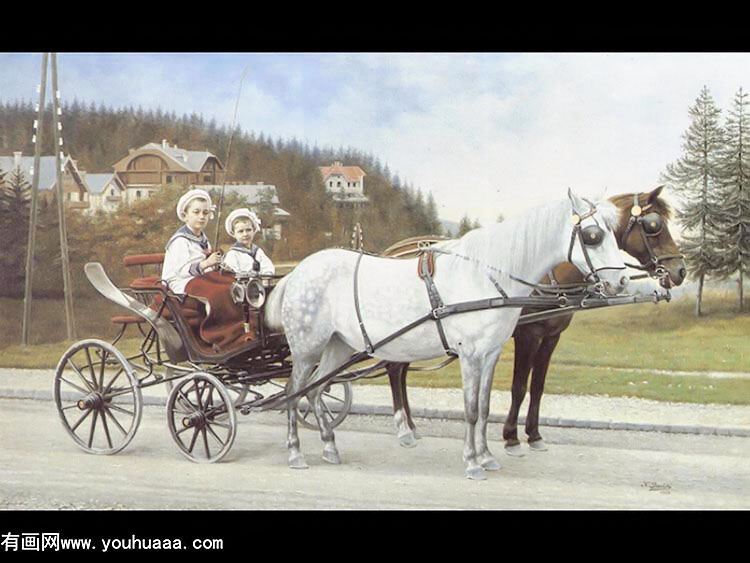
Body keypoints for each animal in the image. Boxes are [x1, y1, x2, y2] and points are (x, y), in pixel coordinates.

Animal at [268, 191, 632, 480]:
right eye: (593, 236)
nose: (622, 282)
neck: (485, 277)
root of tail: (297, 273)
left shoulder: (490, 354)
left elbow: (484, 407)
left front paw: (487, 456)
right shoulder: (470, 355)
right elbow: (471, 409)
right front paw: (472, 462)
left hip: (338, 347)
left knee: (316, 392)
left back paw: (330, 447)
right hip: (306, 350)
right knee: (293, 392)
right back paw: (295, 452)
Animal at [388, 187, 688, 452]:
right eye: (654, 225)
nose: (680, 271)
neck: (551, 273)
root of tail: (390, 251)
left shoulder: (551, 336)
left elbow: (538, 386)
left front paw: (534, 435)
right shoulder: (528, 335)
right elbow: (519, 386)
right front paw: (511, 437)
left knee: (400, 369)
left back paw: (411, 426)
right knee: (394, 369)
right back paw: (405, 430)